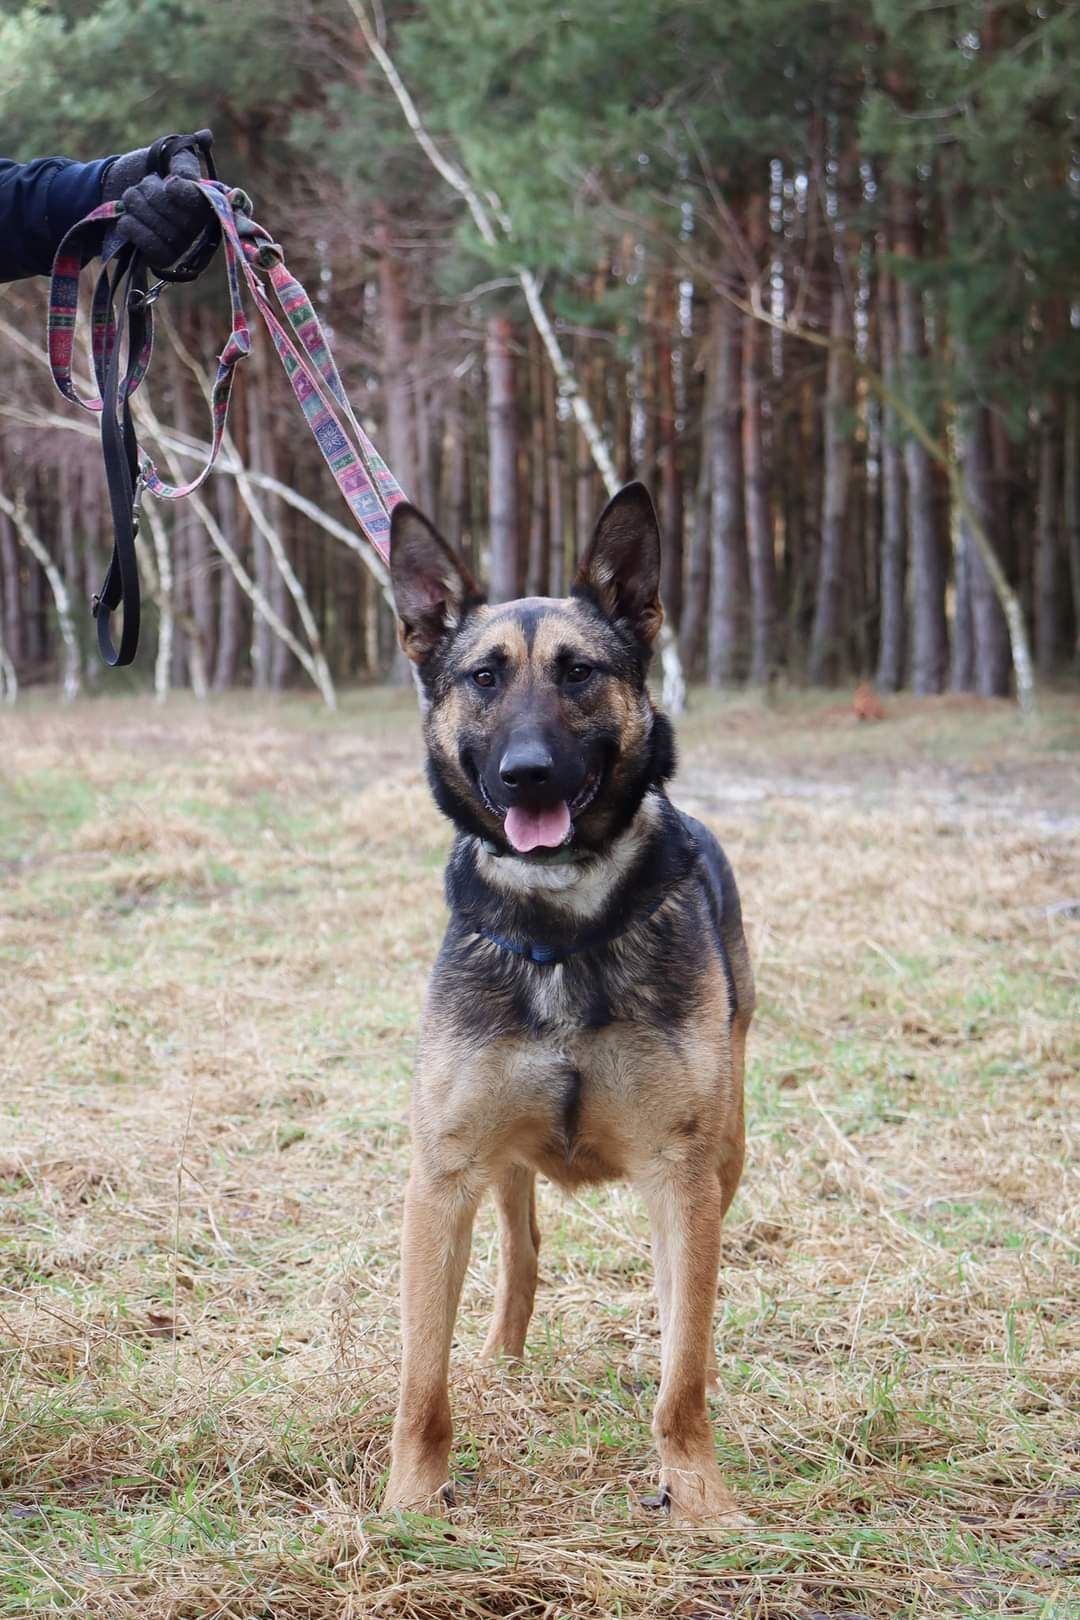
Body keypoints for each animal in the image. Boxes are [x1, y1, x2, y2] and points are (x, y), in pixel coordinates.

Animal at [386, 482, 751, 1529]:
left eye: (580, 673)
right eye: (482, 678)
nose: (527, 774)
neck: (561, 924)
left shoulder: (681, 1172)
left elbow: (682, 1374)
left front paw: (698, 1494)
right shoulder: (442, 1177)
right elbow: (421, 1379)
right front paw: (411, 1502)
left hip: (728, 1150)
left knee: (684, 1301)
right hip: (500, 1167)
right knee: (522, 1252)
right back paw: (501, 1359)